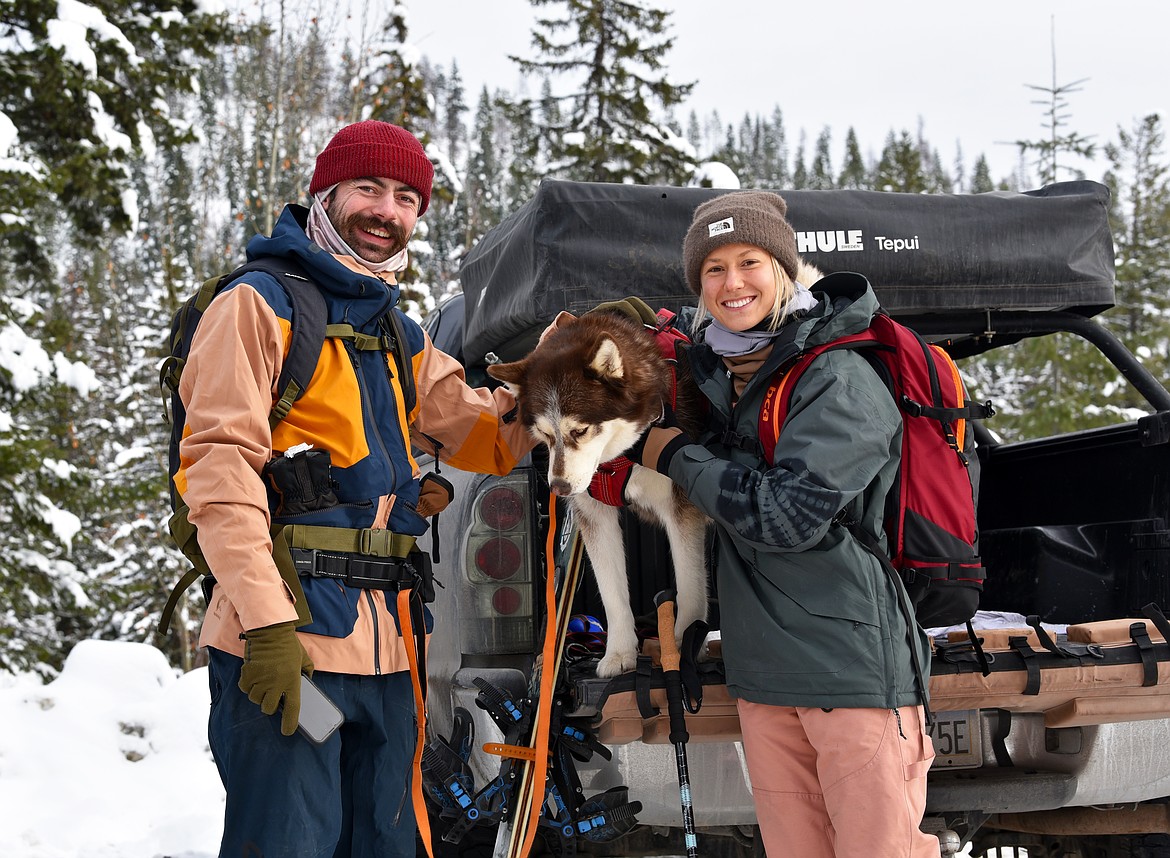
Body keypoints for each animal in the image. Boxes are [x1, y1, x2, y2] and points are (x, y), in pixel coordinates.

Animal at [489, 309, 706, 674]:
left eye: (580, 430)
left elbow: (690, 590)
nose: (559, 488)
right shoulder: (595, 516)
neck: (624, 456)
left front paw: (684, 648)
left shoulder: (682, 511)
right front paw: (619, 654)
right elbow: (613, 595)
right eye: (545, 434)